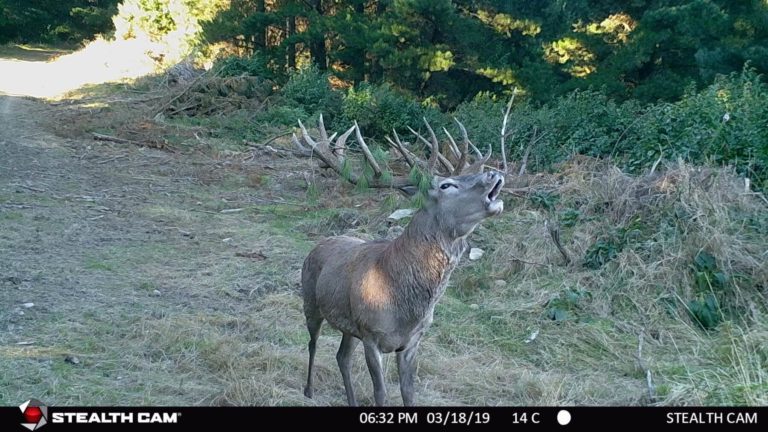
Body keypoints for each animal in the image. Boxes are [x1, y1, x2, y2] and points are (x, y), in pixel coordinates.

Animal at [294, 115, 506, 406]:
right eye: (446, 185)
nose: (494, 173)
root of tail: (320, 243)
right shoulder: (371, 335)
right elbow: (381, 393)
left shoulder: (411, 342)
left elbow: (409, 391)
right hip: (311, 302)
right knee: (312, 343)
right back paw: (308, 390)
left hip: (349, 325)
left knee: (342, 357)